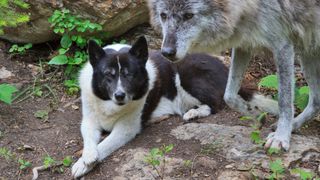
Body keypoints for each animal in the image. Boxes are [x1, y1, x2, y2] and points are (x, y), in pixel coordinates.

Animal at [70, 36, 276, 177]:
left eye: (130, 75)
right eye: (108, 74)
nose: (120, 96)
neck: (109, 104)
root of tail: (227, 71)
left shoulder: (126, 129)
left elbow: (105, 144)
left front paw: (84, 163)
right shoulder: (88, 120)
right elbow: (89, 138)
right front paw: (86, 158)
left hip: (187, 74)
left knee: (216, 103)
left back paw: (193, 113)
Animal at [149, 0, 320, 150]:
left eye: (189, 15)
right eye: (163, 15)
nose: (166, 52)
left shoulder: (282, 46)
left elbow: (284, 103)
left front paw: (281, 137)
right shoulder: (244, 44)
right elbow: (229, 95)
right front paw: (254, 114)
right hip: (308, 52)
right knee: (316, 100)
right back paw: (294, 125)